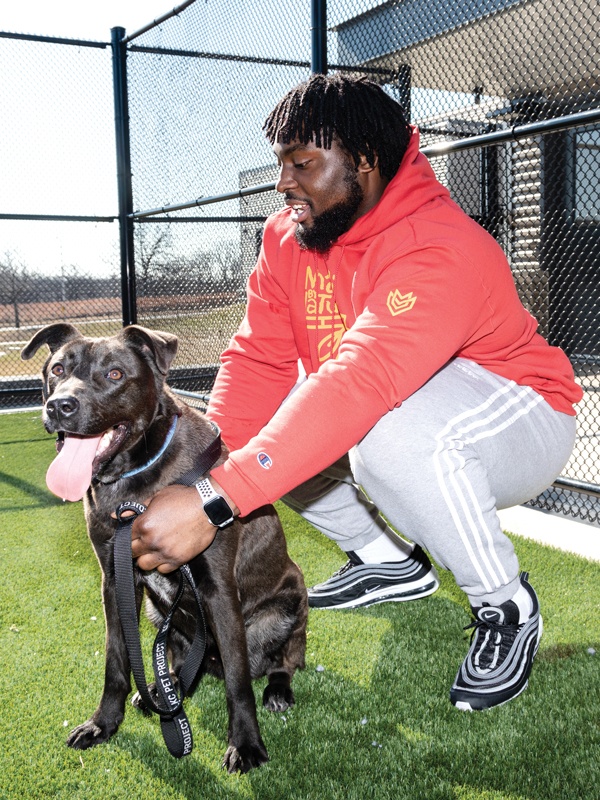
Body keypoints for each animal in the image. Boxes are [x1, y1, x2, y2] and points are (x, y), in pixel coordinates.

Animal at [21, 322, 308, 772]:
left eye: (115, 374)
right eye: (57, 369)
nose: (59, 406)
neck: (135, 480)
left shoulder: (218, 588)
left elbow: (239, 679)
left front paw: (245, 744)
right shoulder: (115, 582)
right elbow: (116, 661)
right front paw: (103, 724)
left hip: (291, 602)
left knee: (283, 660)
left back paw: (277, 689)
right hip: (160, 614)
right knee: (176, 658)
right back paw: (164, 687)